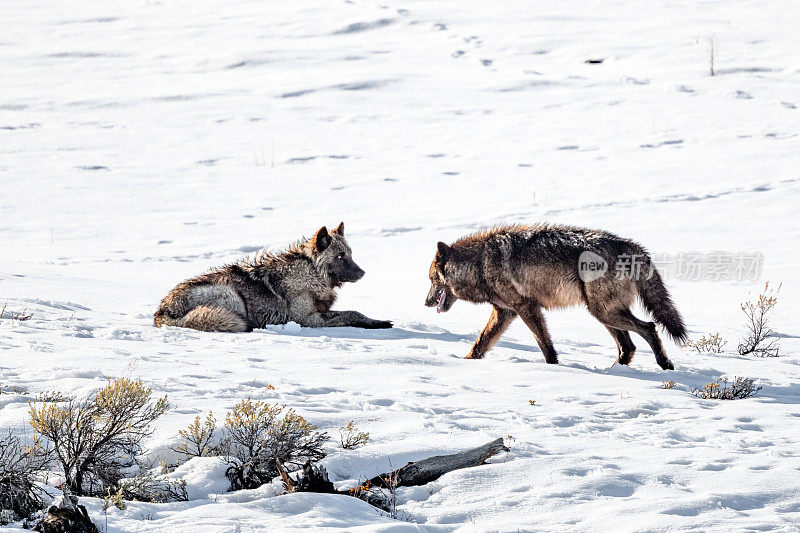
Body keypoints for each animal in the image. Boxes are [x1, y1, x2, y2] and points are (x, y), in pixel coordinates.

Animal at [155, 221, 392, 330]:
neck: (310, 273)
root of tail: (161, 311)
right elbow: (351, 313)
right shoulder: (307, 319)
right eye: (341, 256)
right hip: (231, 295)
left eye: (350, 254)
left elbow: (356, 312)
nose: (362, 273)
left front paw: (378, 321)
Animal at [424, 224, 688, 370]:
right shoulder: (504, 312)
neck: (479, 263)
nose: (426, 302)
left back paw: (664, 365)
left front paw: (553, 369)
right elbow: (480, 344)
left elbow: (545, 345)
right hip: (604, 314)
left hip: (604, 312)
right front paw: (465, 362)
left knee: (649, 327)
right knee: (628, 346)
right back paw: (614, 371)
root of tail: (632, 246)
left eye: (432, 280)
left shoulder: (527, 308)